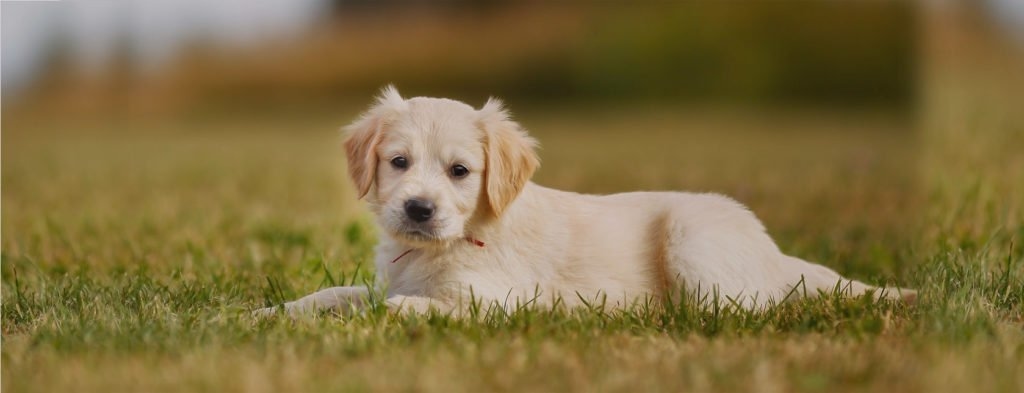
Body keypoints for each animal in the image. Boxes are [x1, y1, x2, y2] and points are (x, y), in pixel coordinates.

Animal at [260, 87, 917, 317]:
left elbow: (409, 309)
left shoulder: (500, 301)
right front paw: (267, 315)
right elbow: (337, 295)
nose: (419, 210)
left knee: (745, 310)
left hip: (694, 240)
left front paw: (390, 317)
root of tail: (775, 255)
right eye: (398, 163)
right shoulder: (385, 279)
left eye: (460, 172)